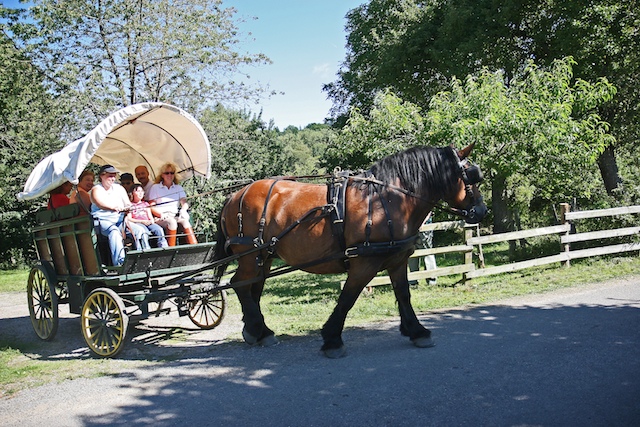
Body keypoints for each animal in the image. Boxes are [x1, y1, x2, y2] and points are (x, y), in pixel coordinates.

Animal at [212, 143, 488, 358]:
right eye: (471, 176)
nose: (481, 211)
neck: (386, 200)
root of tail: (234, 195)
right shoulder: (364, 264)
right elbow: (348, 298)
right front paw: (332, 339)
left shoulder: (397, 260)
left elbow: (403, 295)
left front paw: (417, 330)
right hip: (250, 255)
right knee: (239, 285)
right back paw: (257, 327)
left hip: (264, 256)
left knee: (253, 288)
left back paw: (258, 331)